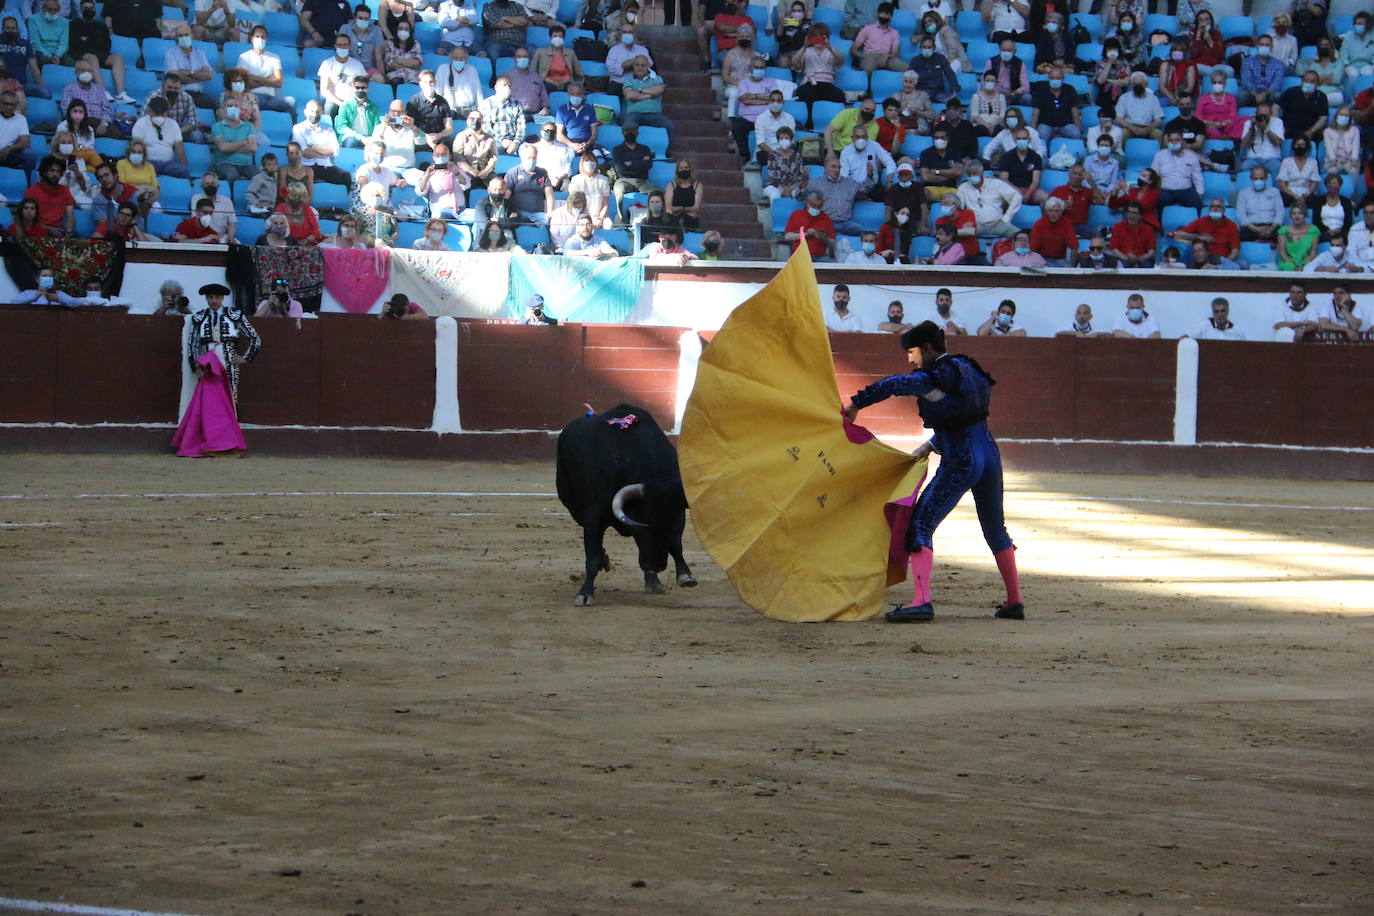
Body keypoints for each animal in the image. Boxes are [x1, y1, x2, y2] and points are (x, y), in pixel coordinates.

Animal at [552, 403, 697, 604]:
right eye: (644, 522)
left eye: (673, 523)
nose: (656, 565)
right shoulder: (593, 516)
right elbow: (592, 555)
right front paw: (585, 594)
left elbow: (676, 544)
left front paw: (684, 576)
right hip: (574, 508)